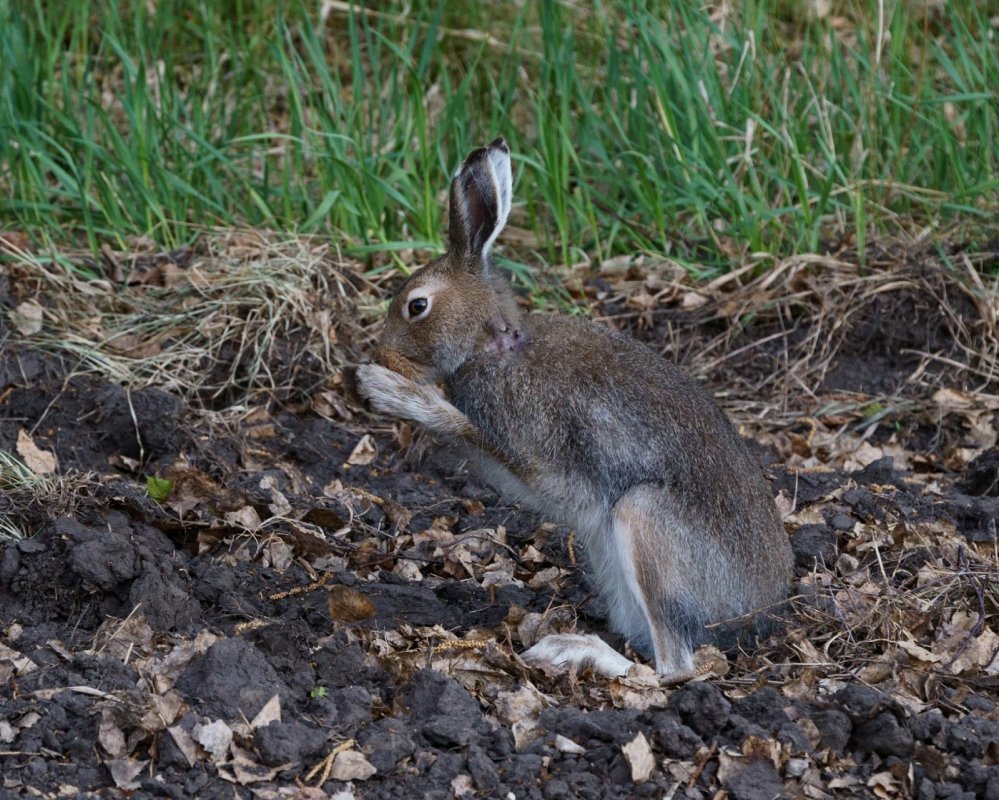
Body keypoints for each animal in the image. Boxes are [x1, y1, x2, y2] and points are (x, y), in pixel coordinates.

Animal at [355, 137, 793, 678]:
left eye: (417, 306)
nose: (382, 356)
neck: (495, 344)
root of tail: (756, 619)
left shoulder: (534, 456)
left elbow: (461, 426)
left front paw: (384, 389)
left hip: (645, 522)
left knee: (673, 667)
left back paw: (567, 648)